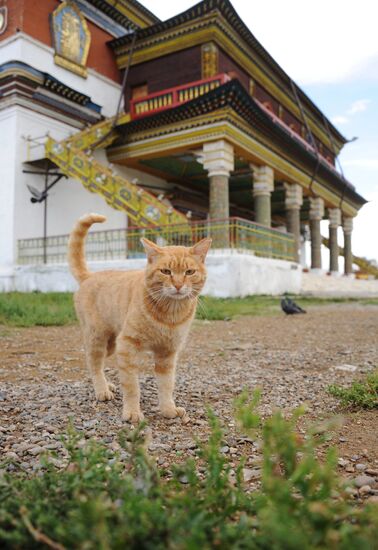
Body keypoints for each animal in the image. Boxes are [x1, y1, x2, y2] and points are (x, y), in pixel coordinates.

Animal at [67, 215, 210, 422]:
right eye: (166, 271)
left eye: (189, 272)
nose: (177, 285)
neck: (170, 314)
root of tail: (90, 276)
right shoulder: (127, 346)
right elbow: (132, 386)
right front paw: (132, 412)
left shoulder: (168, 353)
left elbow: (167, 385)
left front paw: (168, 409)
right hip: (98, 338)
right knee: (93, 362)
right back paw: (102, 390)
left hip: (111, 345)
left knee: (98, 363)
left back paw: (108, 385)